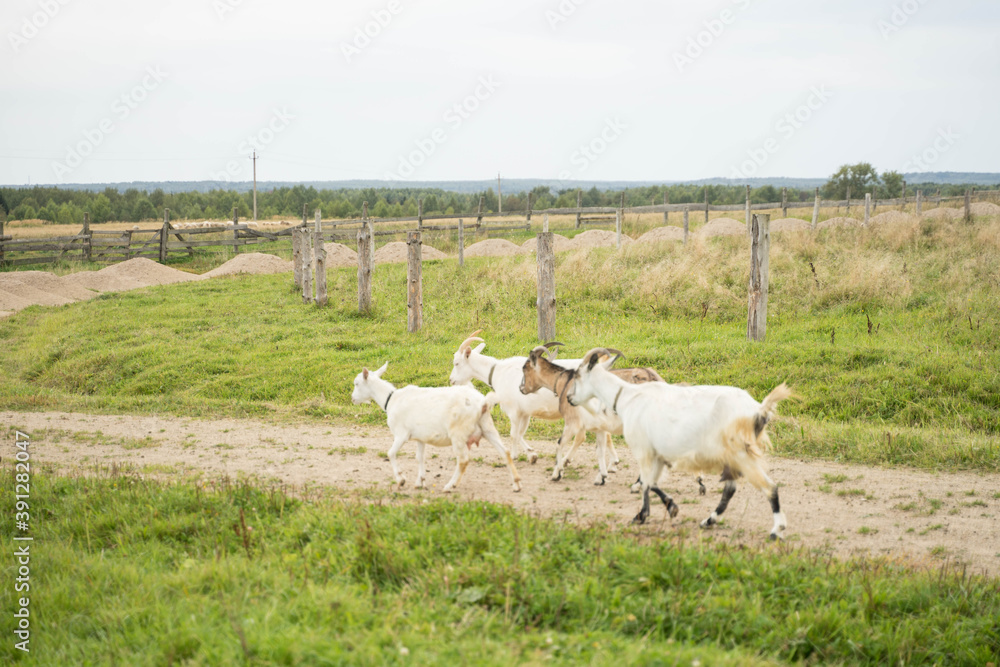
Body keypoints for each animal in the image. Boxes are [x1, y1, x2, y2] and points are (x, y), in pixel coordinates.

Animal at [352, 362, 522, 493]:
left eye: (357, 383)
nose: (352, 398)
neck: (391, 399)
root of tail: (483, 403)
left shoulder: (401, 434)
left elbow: (391, 453)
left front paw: (401, 479)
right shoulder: (420, 437)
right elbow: (419, 457)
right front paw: (420, 481)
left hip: (458, 433)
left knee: (463, 460)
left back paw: (450, 486)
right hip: (487, 427)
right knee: (505, 452)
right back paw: (516, 484)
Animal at [449, 331, 587, 465]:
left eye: (457, 363)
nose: (451, 380)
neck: (498, 372)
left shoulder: (513, 411)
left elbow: (513, 434)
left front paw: (514, 455)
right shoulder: (525, 412)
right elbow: (520, 433)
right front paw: (531, 454)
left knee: (580, 437)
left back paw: (565, 460)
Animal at [519, 342, 664, 485]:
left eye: (525, 368)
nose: (521, 388)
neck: (564, 383)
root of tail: (651, 377)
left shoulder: (573, 422)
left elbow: (560, 443)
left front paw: (557, 474)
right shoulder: (599, 426)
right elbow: (600, 449)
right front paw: (602, 476)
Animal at [568, 348, 792, 540]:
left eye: (577, 375)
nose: (569, 397)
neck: (627, 397)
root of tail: (759, 409)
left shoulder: (643, 450)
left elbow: (646, 483)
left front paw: (643, 515)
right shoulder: (658, 453)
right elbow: (652, 483)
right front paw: (669, 507)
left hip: (741, 453)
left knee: (770, 487)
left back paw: (776, 530)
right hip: (733, 456)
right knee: (730, 489)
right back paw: (709, 521)